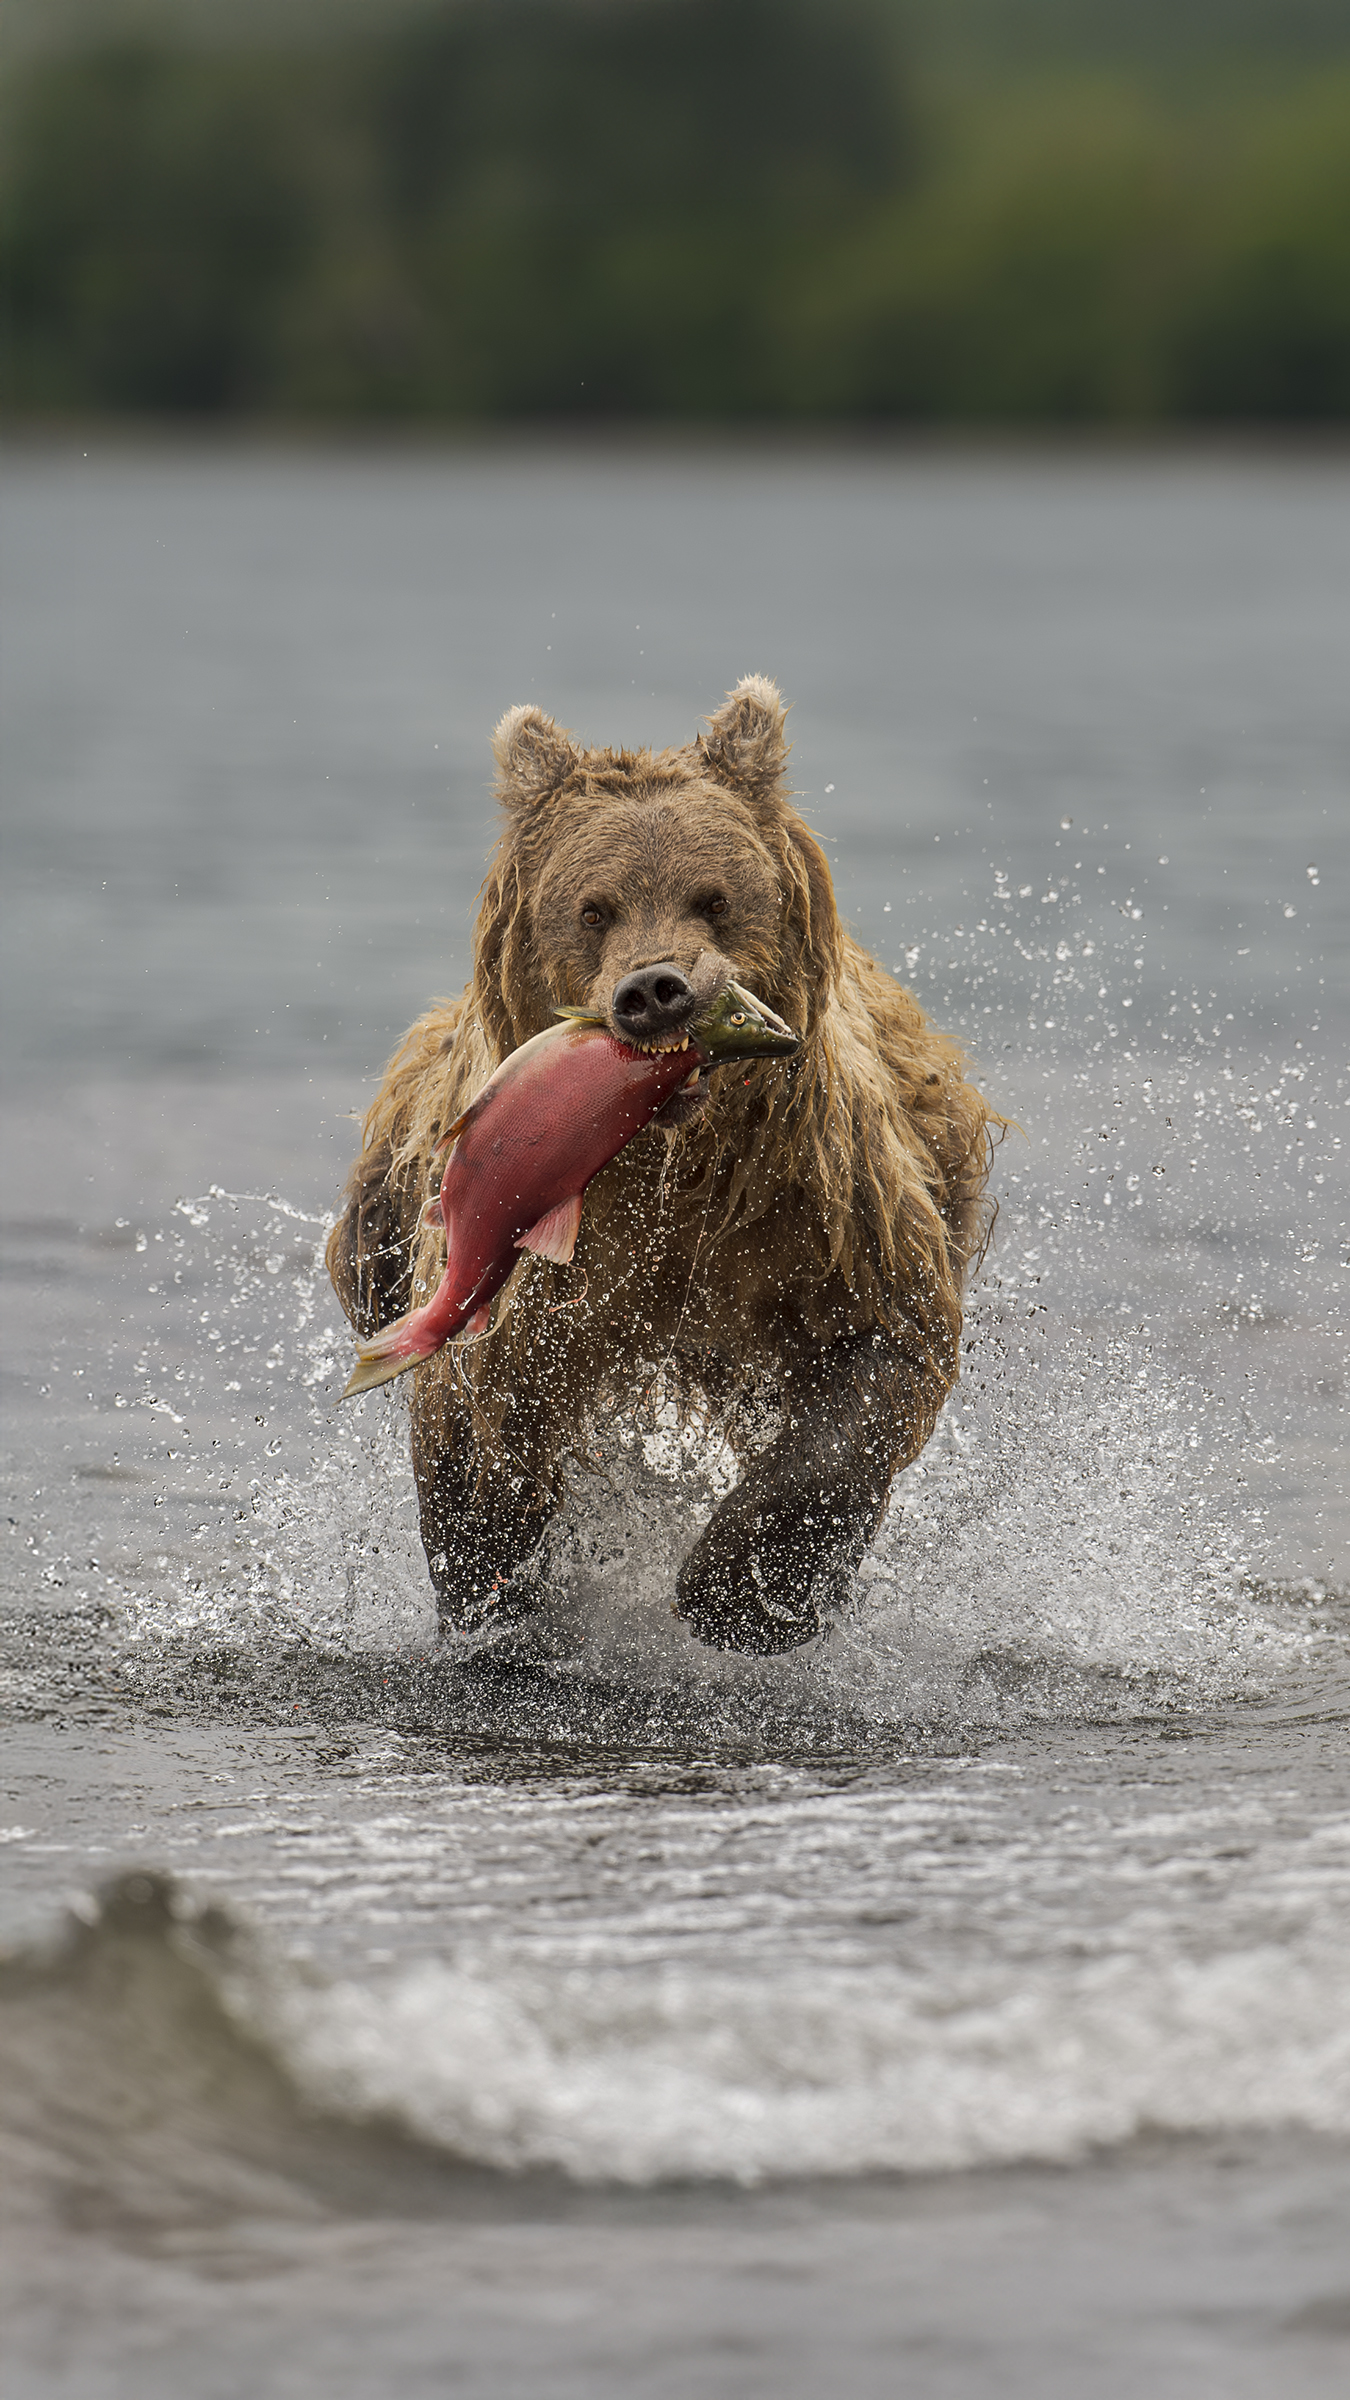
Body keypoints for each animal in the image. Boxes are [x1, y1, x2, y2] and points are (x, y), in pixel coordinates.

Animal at [327, 676, 1000, 1654]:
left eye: (713, 897)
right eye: (593, 907)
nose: (654, 990)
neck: (668, 1163)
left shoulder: (817, 1212)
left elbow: (877, 1359)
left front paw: (743, 1592)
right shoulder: (551, 1269)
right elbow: (484, 1407)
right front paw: (495, 1596)